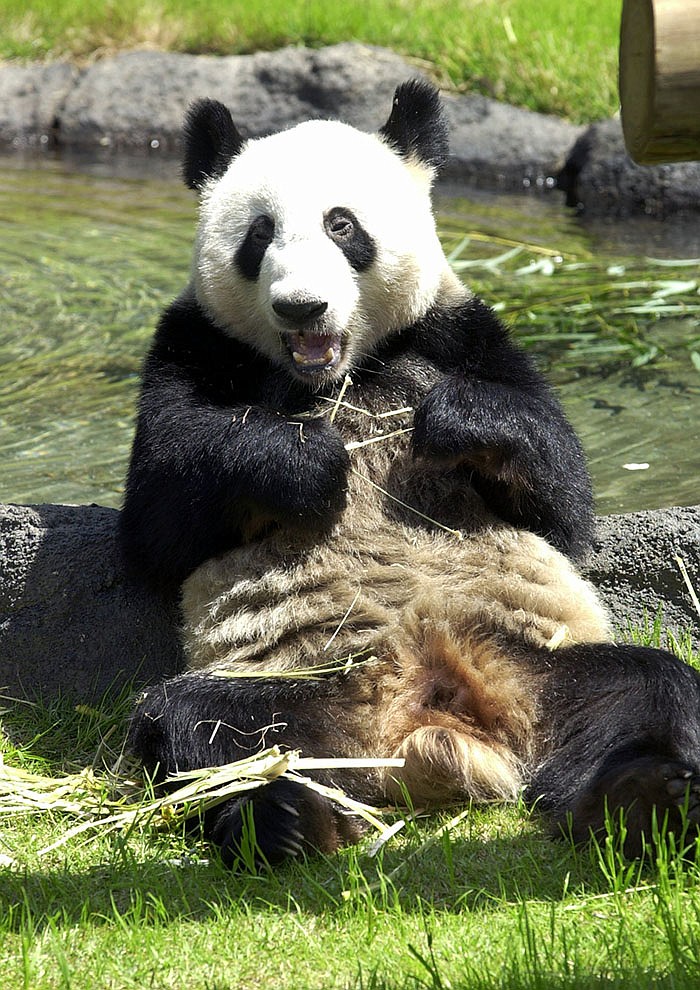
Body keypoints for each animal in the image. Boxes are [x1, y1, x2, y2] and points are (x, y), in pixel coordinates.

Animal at [123, 83, 700, 868]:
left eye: (342, 225)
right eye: (259, 235)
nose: (301, 306)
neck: (342, 372)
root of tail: (427, 721)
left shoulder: (459, 330)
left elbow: (563, 504)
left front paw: (456, 421)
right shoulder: (193, 344)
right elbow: (159, 518)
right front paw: (306, 460)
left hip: (539, 664)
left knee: (649, 690)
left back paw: (643, 800)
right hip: (297, 685)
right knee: (203, 729)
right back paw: (286, 820)